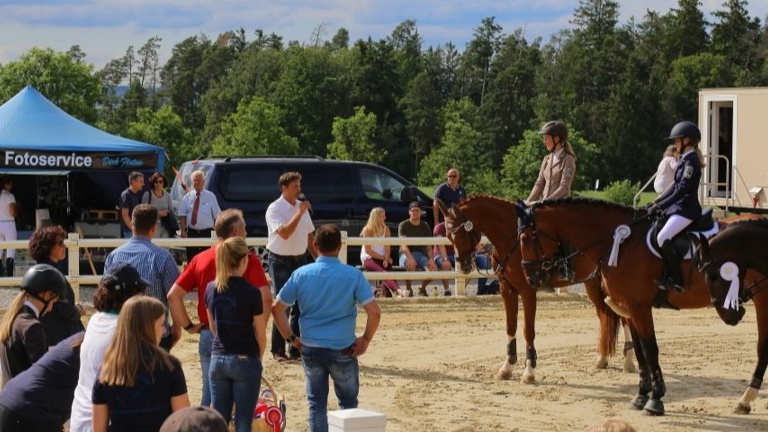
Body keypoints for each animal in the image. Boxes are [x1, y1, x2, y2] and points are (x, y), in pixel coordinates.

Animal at [436, 194, 632, 384]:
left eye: (461, 233)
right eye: (448, 235)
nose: (463, 266)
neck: (513, 241)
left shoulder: (527, 291)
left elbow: (527, 330)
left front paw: (529, 371)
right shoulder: (507, 290)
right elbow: (510, 327)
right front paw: (507, 367)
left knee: (624, 318)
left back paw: (628, 360)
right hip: (592, 284)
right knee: (605, 316)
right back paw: (602, 358)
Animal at [512, 198, 760, 416]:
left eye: (525, 238)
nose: (531, 278)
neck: (618, 242)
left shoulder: (640, 307)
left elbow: (650, 349)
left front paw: (655, 400)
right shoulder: (628, 307)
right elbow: (640, 350)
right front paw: (640, 396)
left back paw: (746, 400)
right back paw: (745, 401)